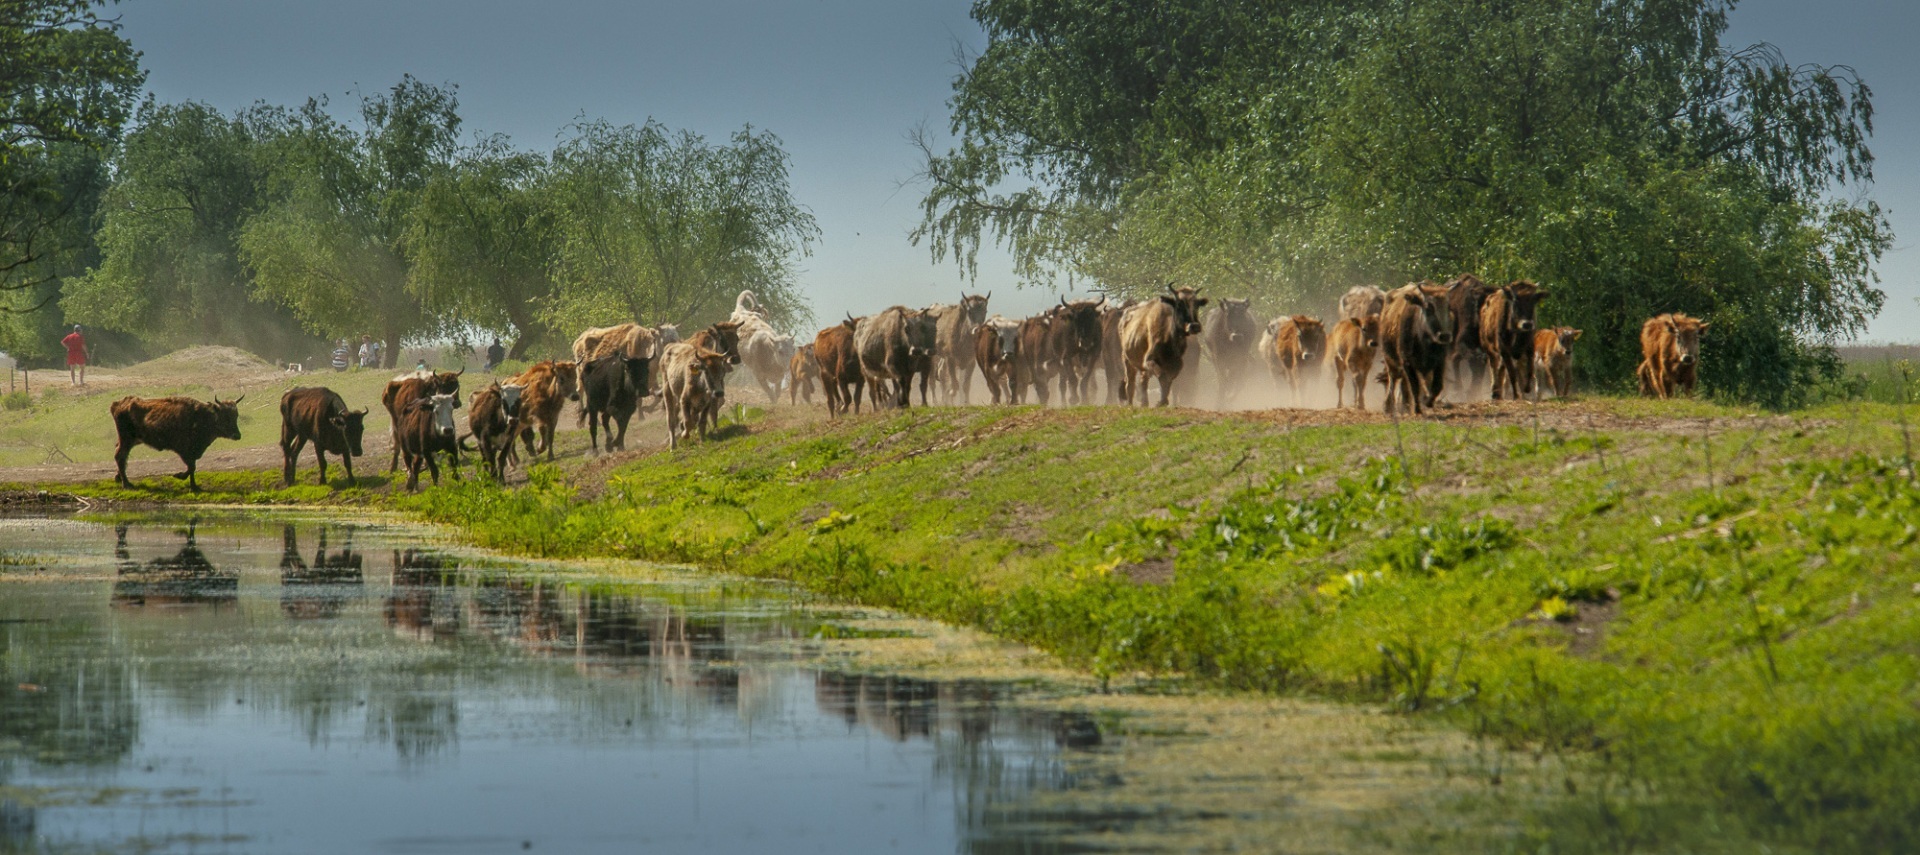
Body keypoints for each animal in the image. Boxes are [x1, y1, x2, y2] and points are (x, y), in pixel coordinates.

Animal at [111, 395, 243, 489]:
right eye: (225, 416)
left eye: (236, 416)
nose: (237, 435)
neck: (202, 416)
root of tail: (117, 403)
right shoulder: (183, 450)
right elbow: (191, 467)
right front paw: (179, 476)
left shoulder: (193, 452)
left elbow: (192, 468)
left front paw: (194, 486)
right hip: (126, 439)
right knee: (120, 456)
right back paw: (126, 484)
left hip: (133, 440)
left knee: (121, 455)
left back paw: (119, 478)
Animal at [1382, 282, 1451, 415]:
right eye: (1429, 308)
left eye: (1448, 307)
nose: (1444, 336)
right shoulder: (1408, 363)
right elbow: (1415, 386)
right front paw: (1417, 409)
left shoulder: (1440, 362)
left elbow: (1437, 385)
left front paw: (1428, 402)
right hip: (1390, 359)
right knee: (1394, 379)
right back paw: (1390, 406)